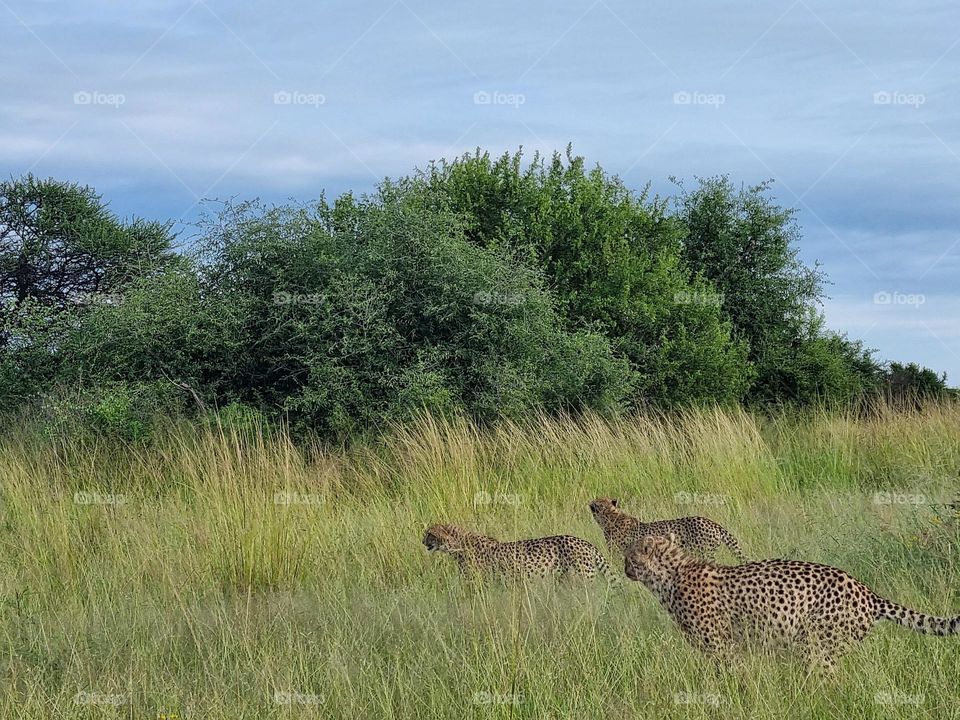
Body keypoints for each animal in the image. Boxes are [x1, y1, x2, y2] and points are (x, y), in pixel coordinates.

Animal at [624, 536, 960, 668]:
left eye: (629, 556)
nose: (624, 568)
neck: (670, 575)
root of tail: (867, 591)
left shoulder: (722, 648)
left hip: (816, 645)